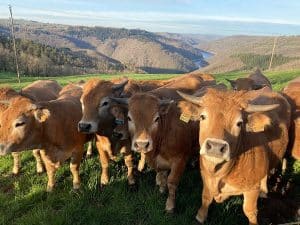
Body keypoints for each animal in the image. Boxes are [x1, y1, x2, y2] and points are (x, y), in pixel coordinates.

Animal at [178, 89, 290, 224]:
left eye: (239, 123)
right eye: (202, 116)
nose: (215, 147)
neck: (218, 173)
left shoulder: (252, 189)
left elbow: (250, 211)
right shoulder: (205, 176)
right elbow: (206, 197)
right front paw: (201, 215)